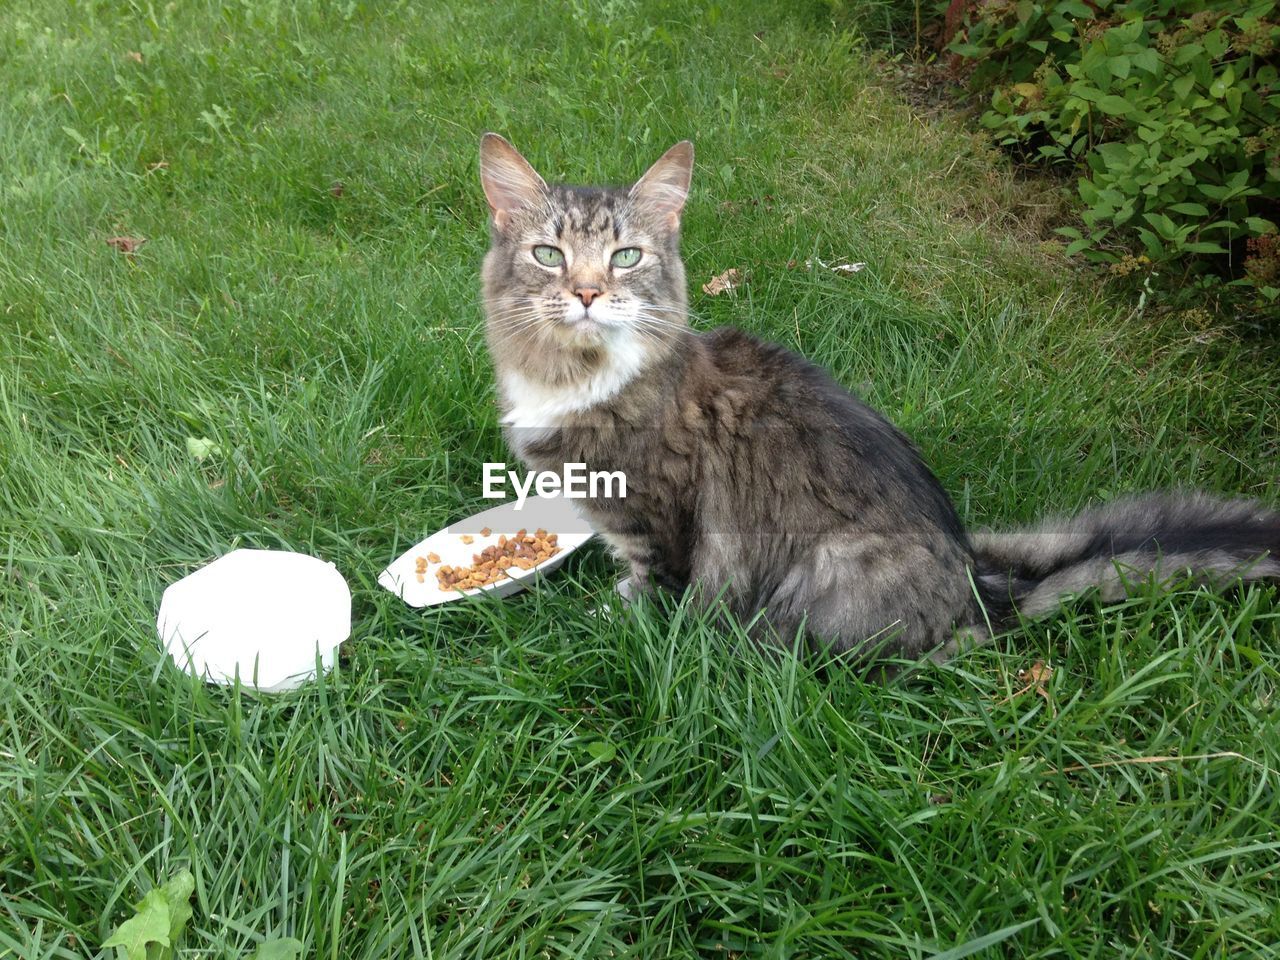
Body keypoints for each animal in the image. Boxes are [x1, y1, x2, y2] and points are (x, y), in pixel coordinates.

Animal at [476, 131, 1274, 665]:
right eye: (549, 254)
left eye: (625, 257)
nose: (587, 293)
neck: (570, 376)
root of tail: (982, 588)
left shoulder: (655, 516)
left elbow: (648, 586)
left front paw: (611, 619)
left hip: (826, 576)